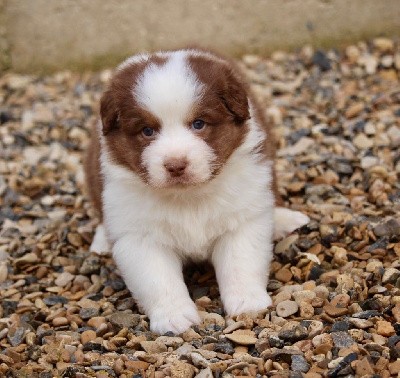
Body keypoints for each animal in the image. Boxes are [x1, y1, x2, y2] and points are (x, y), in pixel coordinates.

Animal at [85, 48, 310, 334]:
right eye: (147, 131)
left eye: (199, 124)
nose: (175, 165)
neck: (187, 196)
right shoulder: (140, 236)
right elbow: (158, 278)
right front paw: (174, 318)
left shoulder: (241, 220)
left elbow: (241, 262)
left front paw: (248, 302)